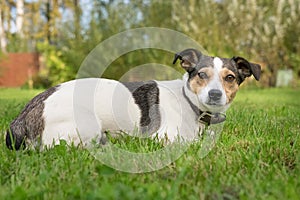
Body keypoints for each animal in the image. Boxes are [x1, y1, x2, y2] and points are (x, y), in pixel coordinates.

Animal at [5, 48, 262, 150]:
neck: (190, 104)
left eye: (230, 77)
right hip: (86, 125)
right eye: (201, 75)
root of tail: (25, 114)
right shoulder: (164, 136)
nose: (215, 94)